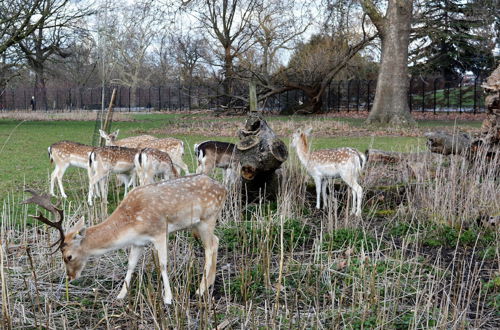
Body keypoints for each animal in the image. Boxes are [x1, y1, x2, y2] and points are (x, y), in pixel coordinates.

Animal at [22, 174, 227, 306]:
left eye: (68, 256)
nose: (70, 277)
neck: (131, 222)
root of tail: (223, 187)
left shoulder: (160, 231)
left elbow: (163, 264)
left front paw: (168, 299)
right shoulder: (138, 242)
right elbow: (130, 265)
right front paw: (121, 294)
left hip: (208, 218)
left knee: (210, 246)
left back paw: (200, 289)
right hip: (197, 223)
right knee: (216, 241)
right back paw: (209, 283)